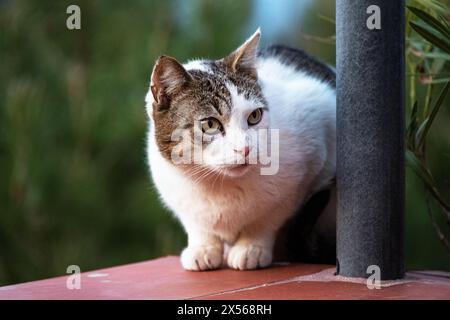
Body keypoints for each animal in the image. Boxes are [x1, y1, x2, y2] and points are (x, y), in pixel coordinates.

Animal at [146, 29, 336, 270]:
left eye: (255, 116)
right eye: (210, 124)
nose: (245, 149)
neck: (218, 184)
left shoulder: (310, 157)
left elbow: (269, 217)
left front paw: (251, 247)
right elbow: (195, 223)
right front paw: (203, 246)